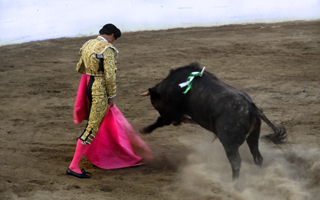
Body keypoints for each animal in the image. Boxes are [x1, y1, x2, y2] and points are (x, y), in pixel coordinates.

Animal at [140, 62, 288, 180]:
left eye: (155, 102)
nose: (178, 123)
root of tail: (251, 107)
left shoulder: (171, 112)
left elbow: (160, 121)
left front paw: (144, 130)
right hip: (253, 136)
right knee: (257, 156)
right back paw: (258, 175)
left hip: (229, 143)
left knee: (236, 162)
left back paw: (234, 184)